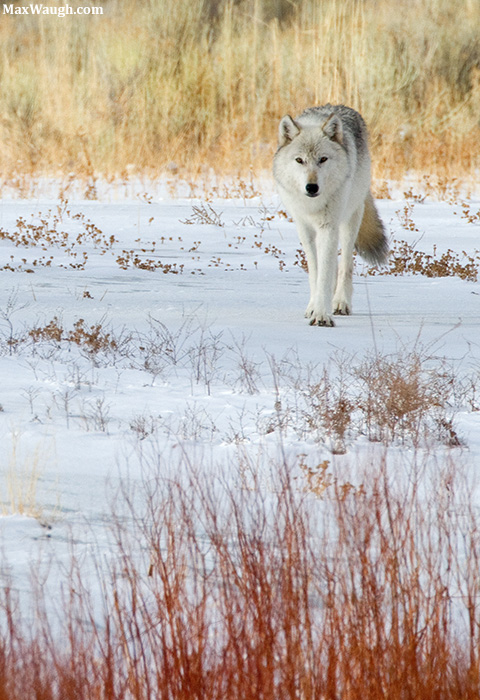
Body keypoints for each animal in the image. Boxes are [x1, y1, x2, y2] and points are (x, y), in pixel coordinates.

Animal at [273, 104, 388, 326]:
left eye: (323, 159)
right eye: (299, 160)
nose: (311, 187)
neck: (313, 204)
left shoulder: (329, 226)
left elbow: (325, 275)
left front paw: (321, 315)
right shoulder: (305, 229)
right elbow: (316, 272)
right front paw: (313, 308)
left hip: (349, 222)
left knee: (345, 266)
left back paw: (341, 302)